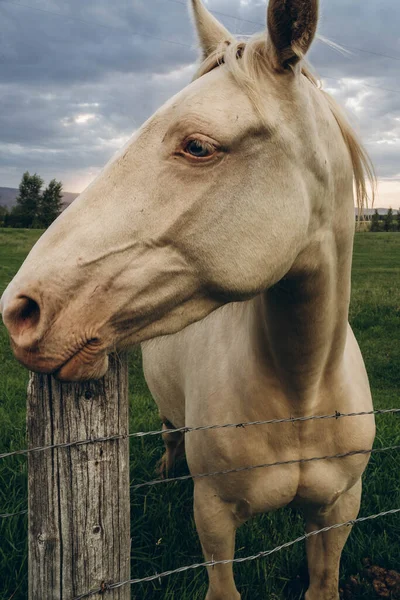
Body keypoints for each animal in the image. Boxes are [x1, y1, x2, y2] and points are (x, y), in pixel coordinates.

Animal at [0, 0, 376, 596]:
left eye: (197, 146)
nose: (21, 310)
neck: (303, 392)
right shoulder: (214, 515)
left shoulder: (339, 512)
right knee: (170, 431)